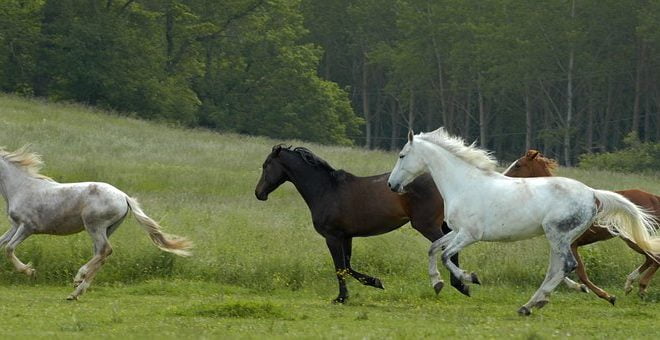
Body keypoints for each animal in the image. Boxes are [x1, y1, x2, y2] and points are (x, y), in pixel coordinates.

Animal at [0, 146, 191, 300]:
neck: (21, 187)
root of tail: (124, 196)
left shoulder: (27, 227)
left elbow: (9, 249)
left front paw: (30, 272)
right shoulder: (15, 226)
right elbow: (3, 244)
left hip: (94, 226)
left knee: (105, 250)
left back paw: (78, 278)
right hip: (107, 229)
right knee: (101, 255)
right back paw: (76, 292)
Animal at [502, 150, 656, 304]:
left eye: (518, 165)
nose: (503, 178)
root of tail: (654, 197)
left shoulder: (572, 244)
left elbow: (579, 272)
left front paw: (606, 295)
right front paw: (579, 287)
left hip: (634, 239)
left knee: (654, 258)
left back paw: (640, 287)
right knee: (651, 258)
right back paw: (632, 285)